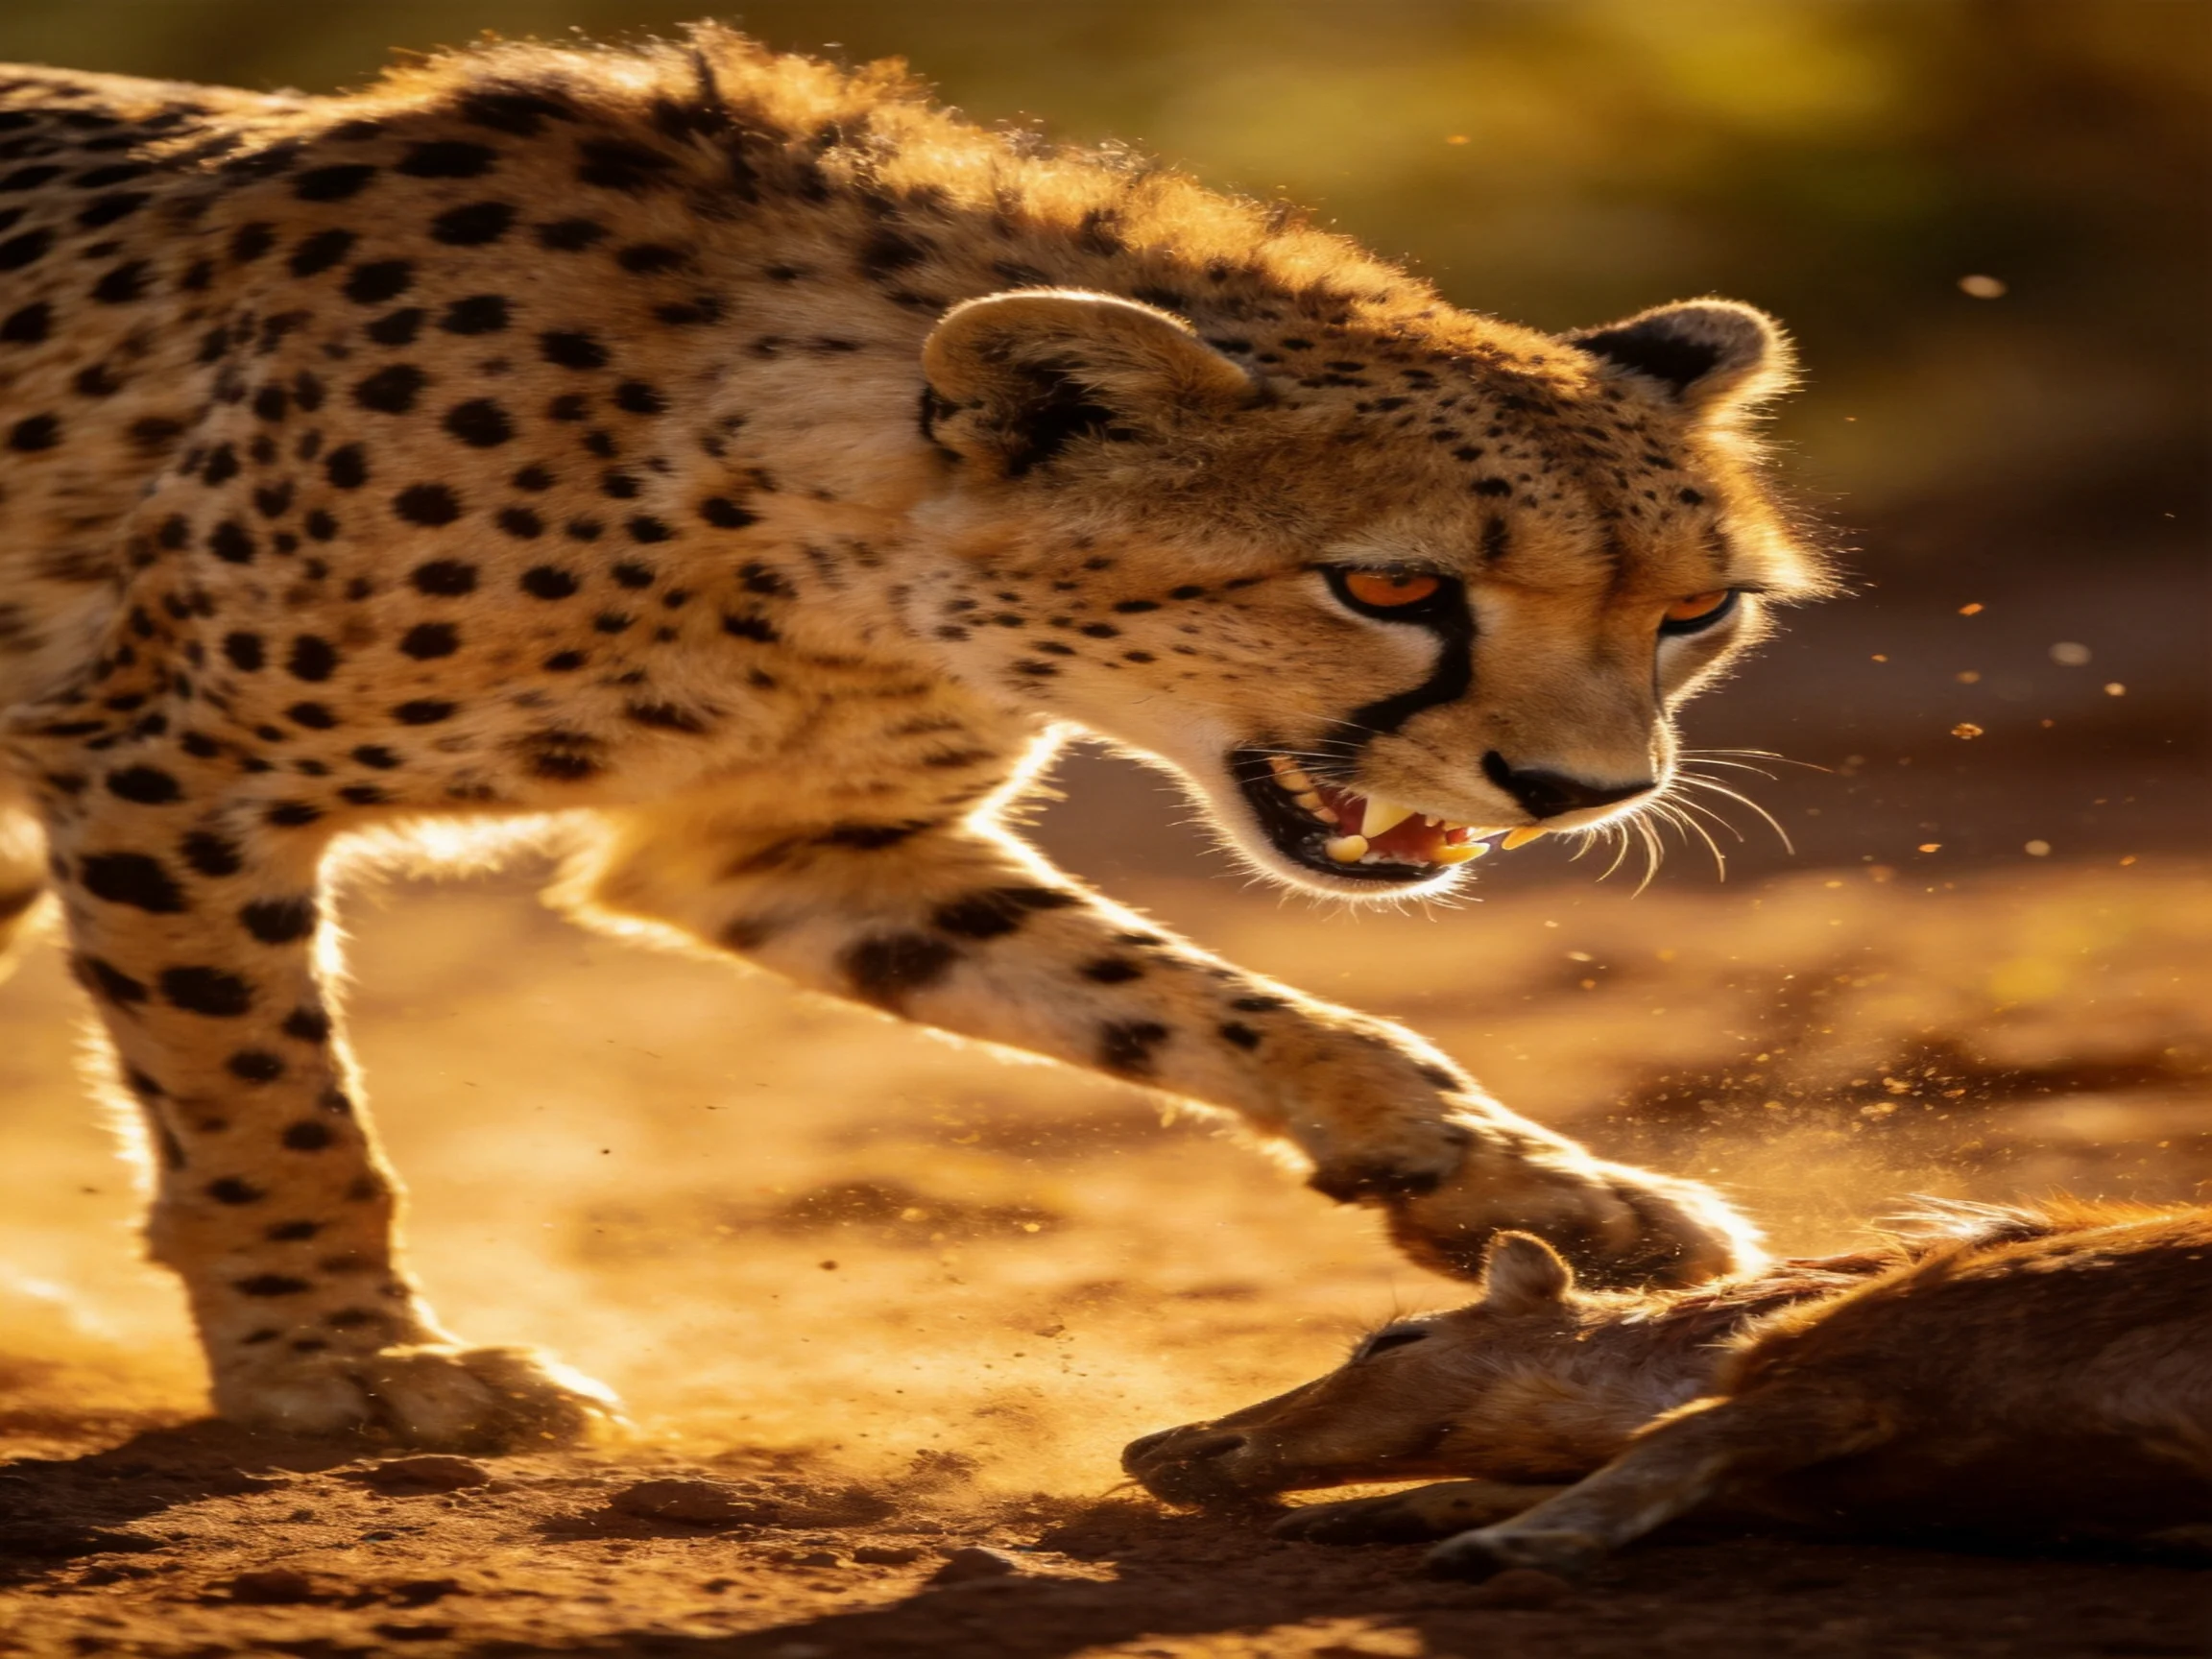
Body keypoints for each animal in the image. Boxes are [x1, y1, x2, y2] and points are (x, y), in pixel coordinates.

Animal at [0, 26, 1831, 1449]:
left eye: (1694, 610)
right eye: (1388, 582)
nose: (1581, 790)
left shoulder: (787, 842)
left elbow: (1233, 1006)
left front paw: (1533, 1191)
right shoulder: (175, 771)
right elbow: (270, 1101)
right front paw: (353, 1358)